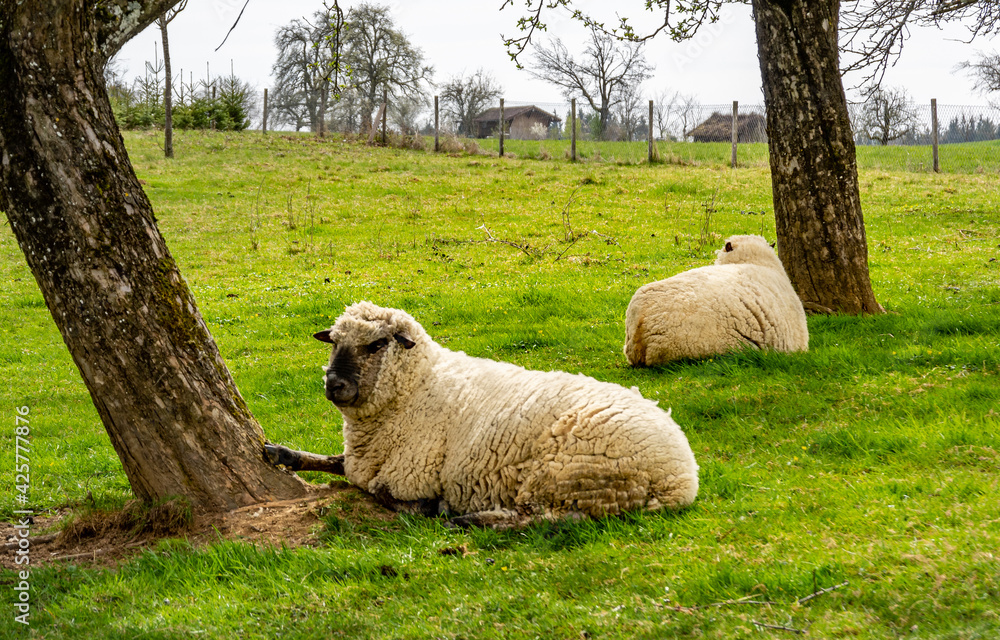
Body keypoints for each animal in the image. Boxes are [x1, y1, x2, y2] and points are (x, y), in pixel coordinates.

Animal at [283, 301, 699, 529]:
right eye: (334, 342)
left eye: (377, 344)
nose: (333, 384)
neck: (417, 384)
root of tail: (681, 477)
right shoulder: (362, 460)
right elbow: (337, 463)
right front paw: (283, 453)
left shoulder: (411, 476)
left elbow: (385, 493)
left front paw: (434, 507)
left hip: (569, 475)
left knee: (556, 518)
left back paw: (470, 520)